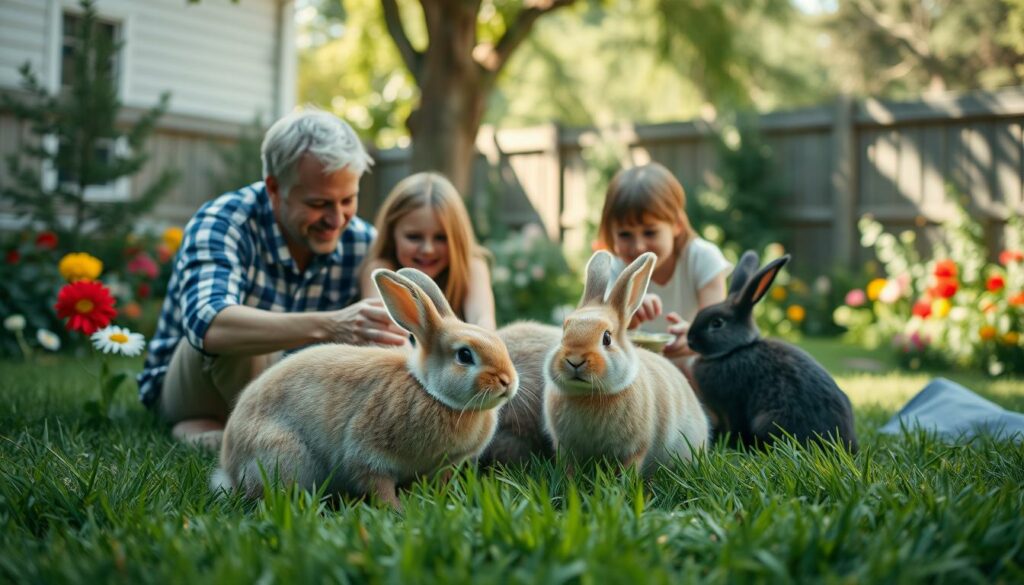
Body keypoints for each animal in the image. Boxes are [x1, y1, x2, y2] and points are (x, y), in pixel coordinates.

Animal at [214, 268, 520, 506]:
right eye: (465, 355)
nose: (508, 381)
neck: (429, 391)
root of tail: (230, 465)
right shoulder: (367, 456)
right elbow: (378, 485)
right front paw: (397, 511)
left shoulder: (443, 465)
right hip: (284, 455)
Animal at [544, 252, 712, 475]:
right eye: (563, 334)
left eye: (607, 338)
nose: (575, 360)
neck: (588, 395)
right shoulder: (566, 447)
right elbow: (568, 467)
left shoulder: (634, 449)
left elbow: (628, 470)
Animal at [684, 252, 860, 452]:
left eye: (717, 323)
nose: (689, 339)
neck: (735, 349)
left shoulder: (732, 407)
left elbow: (735, 426)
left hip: (768, 421)